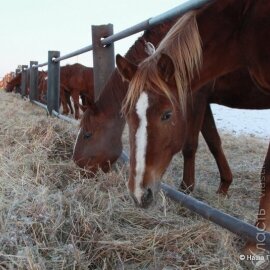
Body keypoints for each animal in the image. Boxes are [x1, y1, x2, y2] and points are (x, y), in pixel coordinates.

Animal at [116, 0, 270, 253]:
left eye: (167, 114)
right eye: (126, 113)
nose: (139, 193)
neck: (244, 25)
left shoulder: (199, 97)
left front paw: (254, 242)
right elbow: (214, 141)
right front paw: (223, 187)